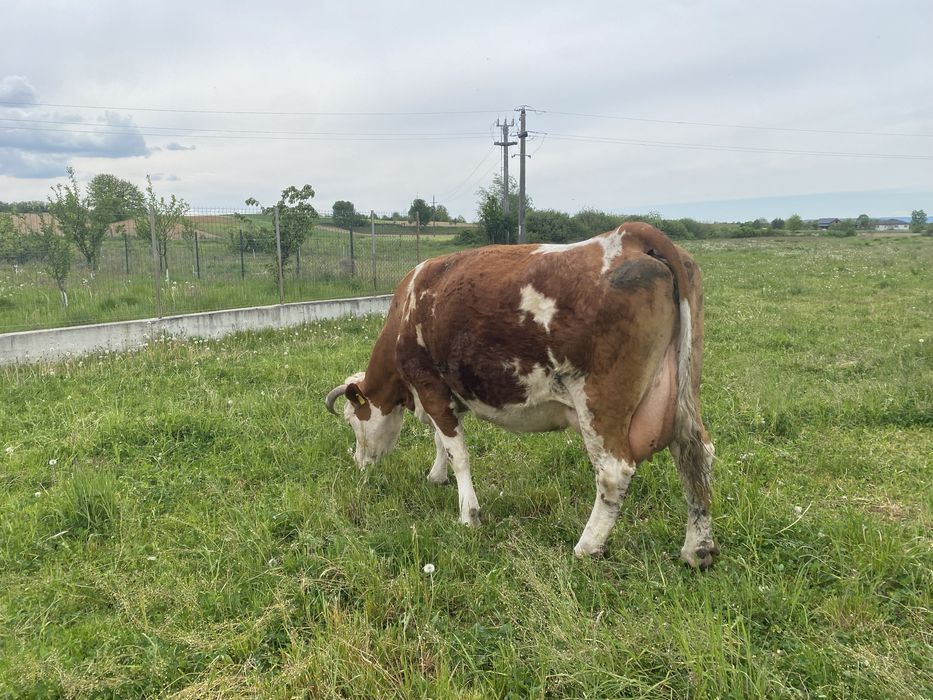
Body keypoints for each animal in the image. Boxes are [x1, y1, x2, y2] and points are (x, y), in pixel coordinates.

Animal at [325, 222, 719, 569]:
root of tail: (631, 235)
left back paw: (587, 546)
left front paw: (468, 514)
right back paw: (697, 549)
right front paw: (437, 476)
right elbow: (441, 440)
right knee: (695, 454)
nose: (359, 463)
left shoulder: (430, 385)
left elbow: (458, 452)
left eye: (353, 420)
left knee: (613, 471)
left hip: (600, 401)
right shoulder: (446, 392)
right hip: (684, 386)